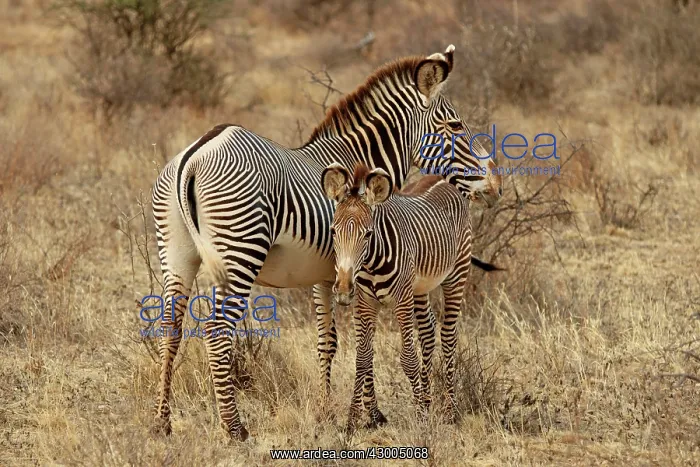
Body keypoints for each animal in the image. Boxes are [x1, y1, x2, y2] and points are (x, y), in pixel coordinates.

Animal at [321, 163, 473, 430]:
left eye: (368, 234)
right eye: (333, 231)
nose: (343, 290)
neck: (372, 263)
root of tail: (442, 178)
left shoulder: (402, 301)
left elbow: (408, 359)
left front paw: (420, 418)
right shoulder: (365, 303)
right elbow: (362, 358)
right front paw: (352, 421)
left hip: (457, 274)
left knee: (448, 335)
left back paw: (449, 411)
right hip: (420, 288)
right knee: (428, 331)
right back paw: (428, 401)